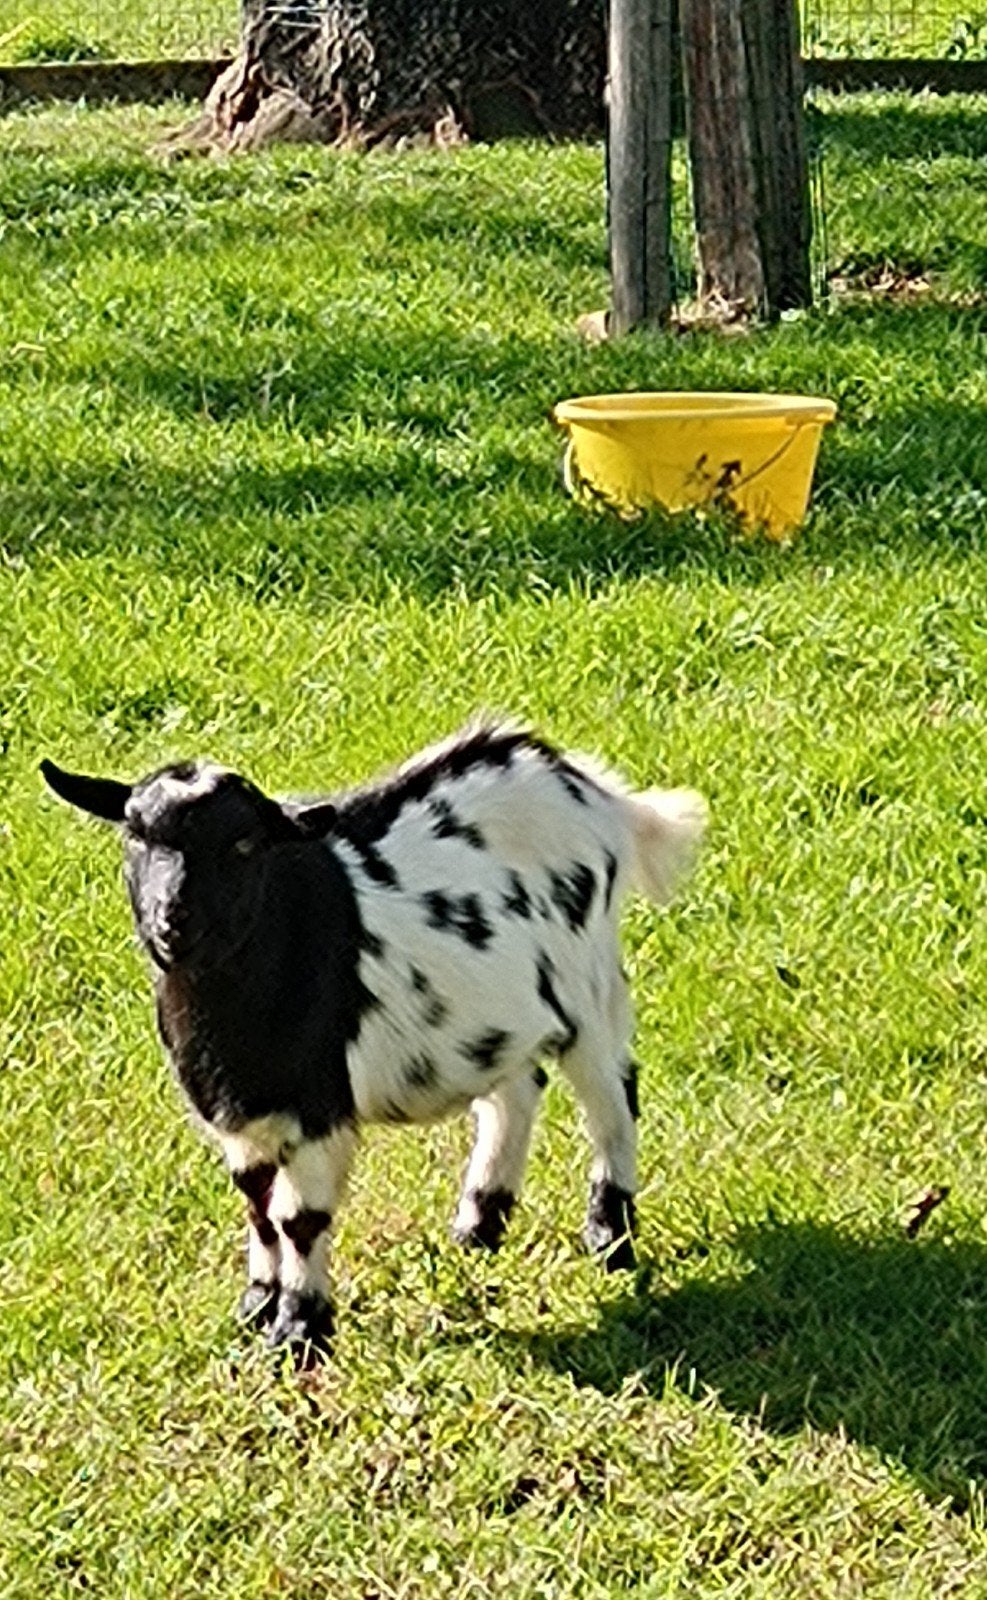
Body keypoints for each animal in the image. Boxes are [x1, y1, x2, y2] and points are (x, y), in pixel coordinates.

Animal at [41, 722, 705, 1365]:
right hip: (499, 1010)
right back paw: (477, 1228)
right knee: (514, 1092)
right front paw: (257, 1305)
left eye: (244, 846)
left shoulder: (315, 1105)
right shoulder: (239, 1113)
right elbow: (257, 1204)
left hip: (588, 986)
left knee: (612, 1100)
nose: (172, 918)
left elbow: (299, 1219)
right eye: (135, 834)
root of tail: (591, 788)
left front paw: (299, 1333)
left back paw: (610, 1240)